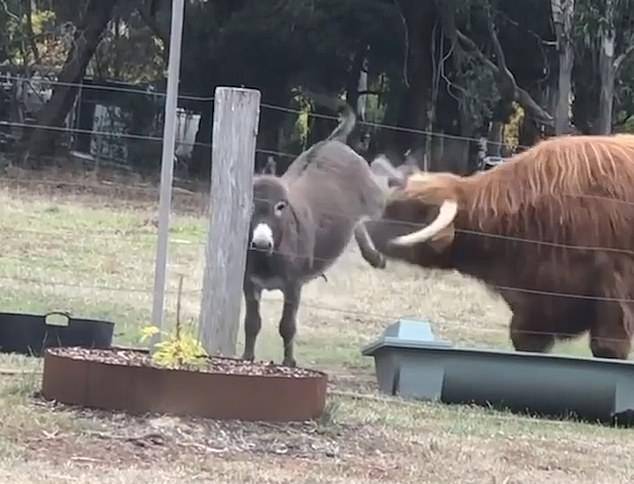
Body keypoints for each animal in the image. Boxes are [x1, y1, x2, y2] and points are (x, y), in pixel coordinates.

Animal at [366, 132, 634, 360]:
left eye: (411, 212)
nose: (363, 231)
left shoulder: (614, 287)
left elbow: (608, 347)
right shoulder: (536, 303)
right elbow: (524, 340)